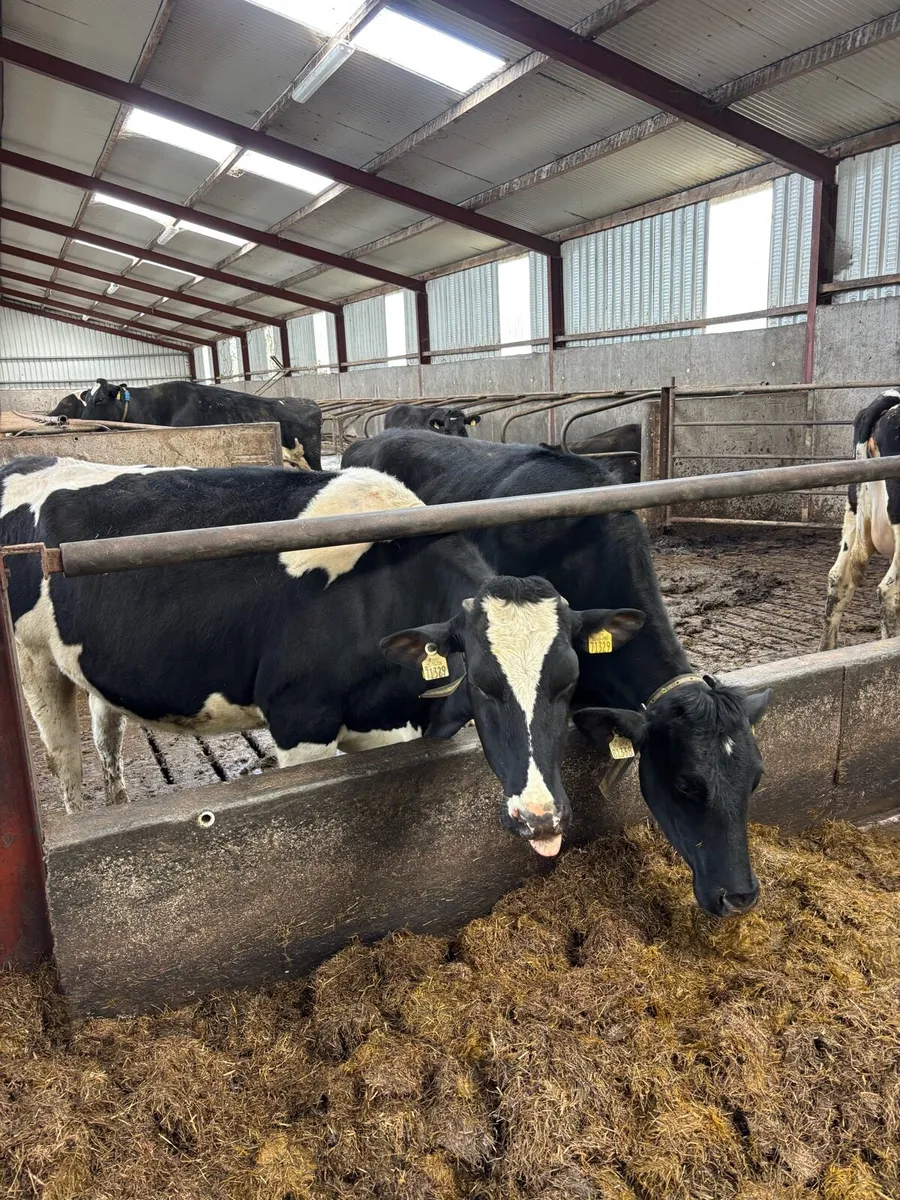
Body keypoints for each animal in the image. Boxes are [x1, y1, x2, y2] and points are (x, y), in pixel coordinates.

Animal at [0, 455, 643, 857]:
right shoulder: (299, 720)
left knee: (106, 734)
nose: (542, 817)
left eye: (568, 681)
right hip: (30, 659)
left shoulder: (385, 723)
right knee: (64, 761)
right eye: (485, 683)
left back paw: (117, 806)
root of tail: (28, 460)